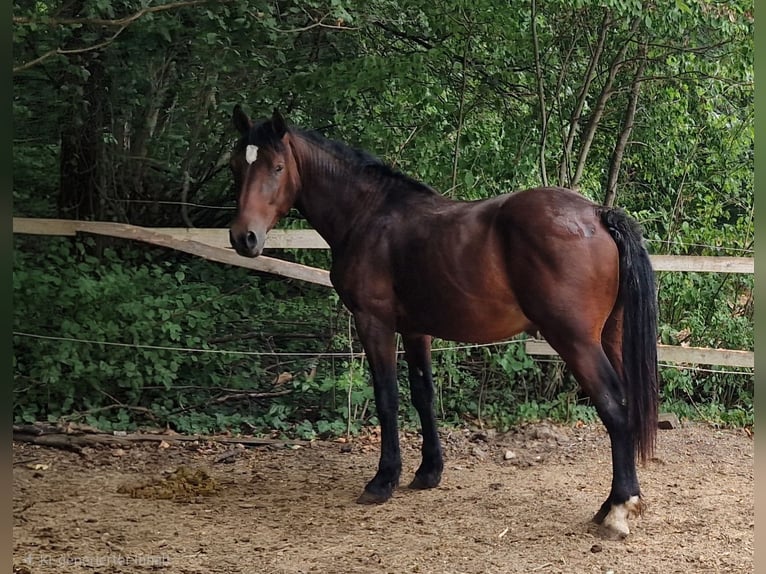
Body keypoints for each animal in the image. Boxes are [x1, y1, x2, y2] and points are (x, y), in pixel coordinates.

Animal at [227, 107, 659, 540]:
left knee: (615, 406)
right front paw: (428, 471)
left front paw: (383, 480)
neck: (369, 215)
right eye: (236, 166)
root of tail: (597, 214)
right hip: (610, 336)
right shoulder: (416, 330)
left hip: (575, 340)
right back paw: (612, 504)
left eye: (277, 167)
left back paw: (619, 509)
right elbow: (424, 395)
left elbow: (387, 397)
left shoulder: (374, 323)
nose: (243, 238)